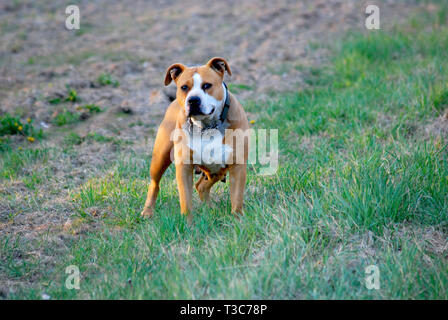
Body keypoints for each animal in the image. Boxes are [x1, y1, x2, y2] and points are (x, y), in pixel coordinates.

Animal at [142, 57, 250, 218]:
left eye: (207, 85)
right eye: (184, 87)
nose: (193, 100)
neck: (207, 126)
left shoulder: (237, 165)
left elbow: (237, 199)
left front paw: (237, 219)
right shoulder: (184, 167)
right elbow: (185, 200)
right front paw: (188, 221)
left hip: (217, 169)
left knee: (201, 186)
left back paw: (210, 209)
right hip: (160, 157)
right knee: (155, 183)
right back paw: (147, 211)